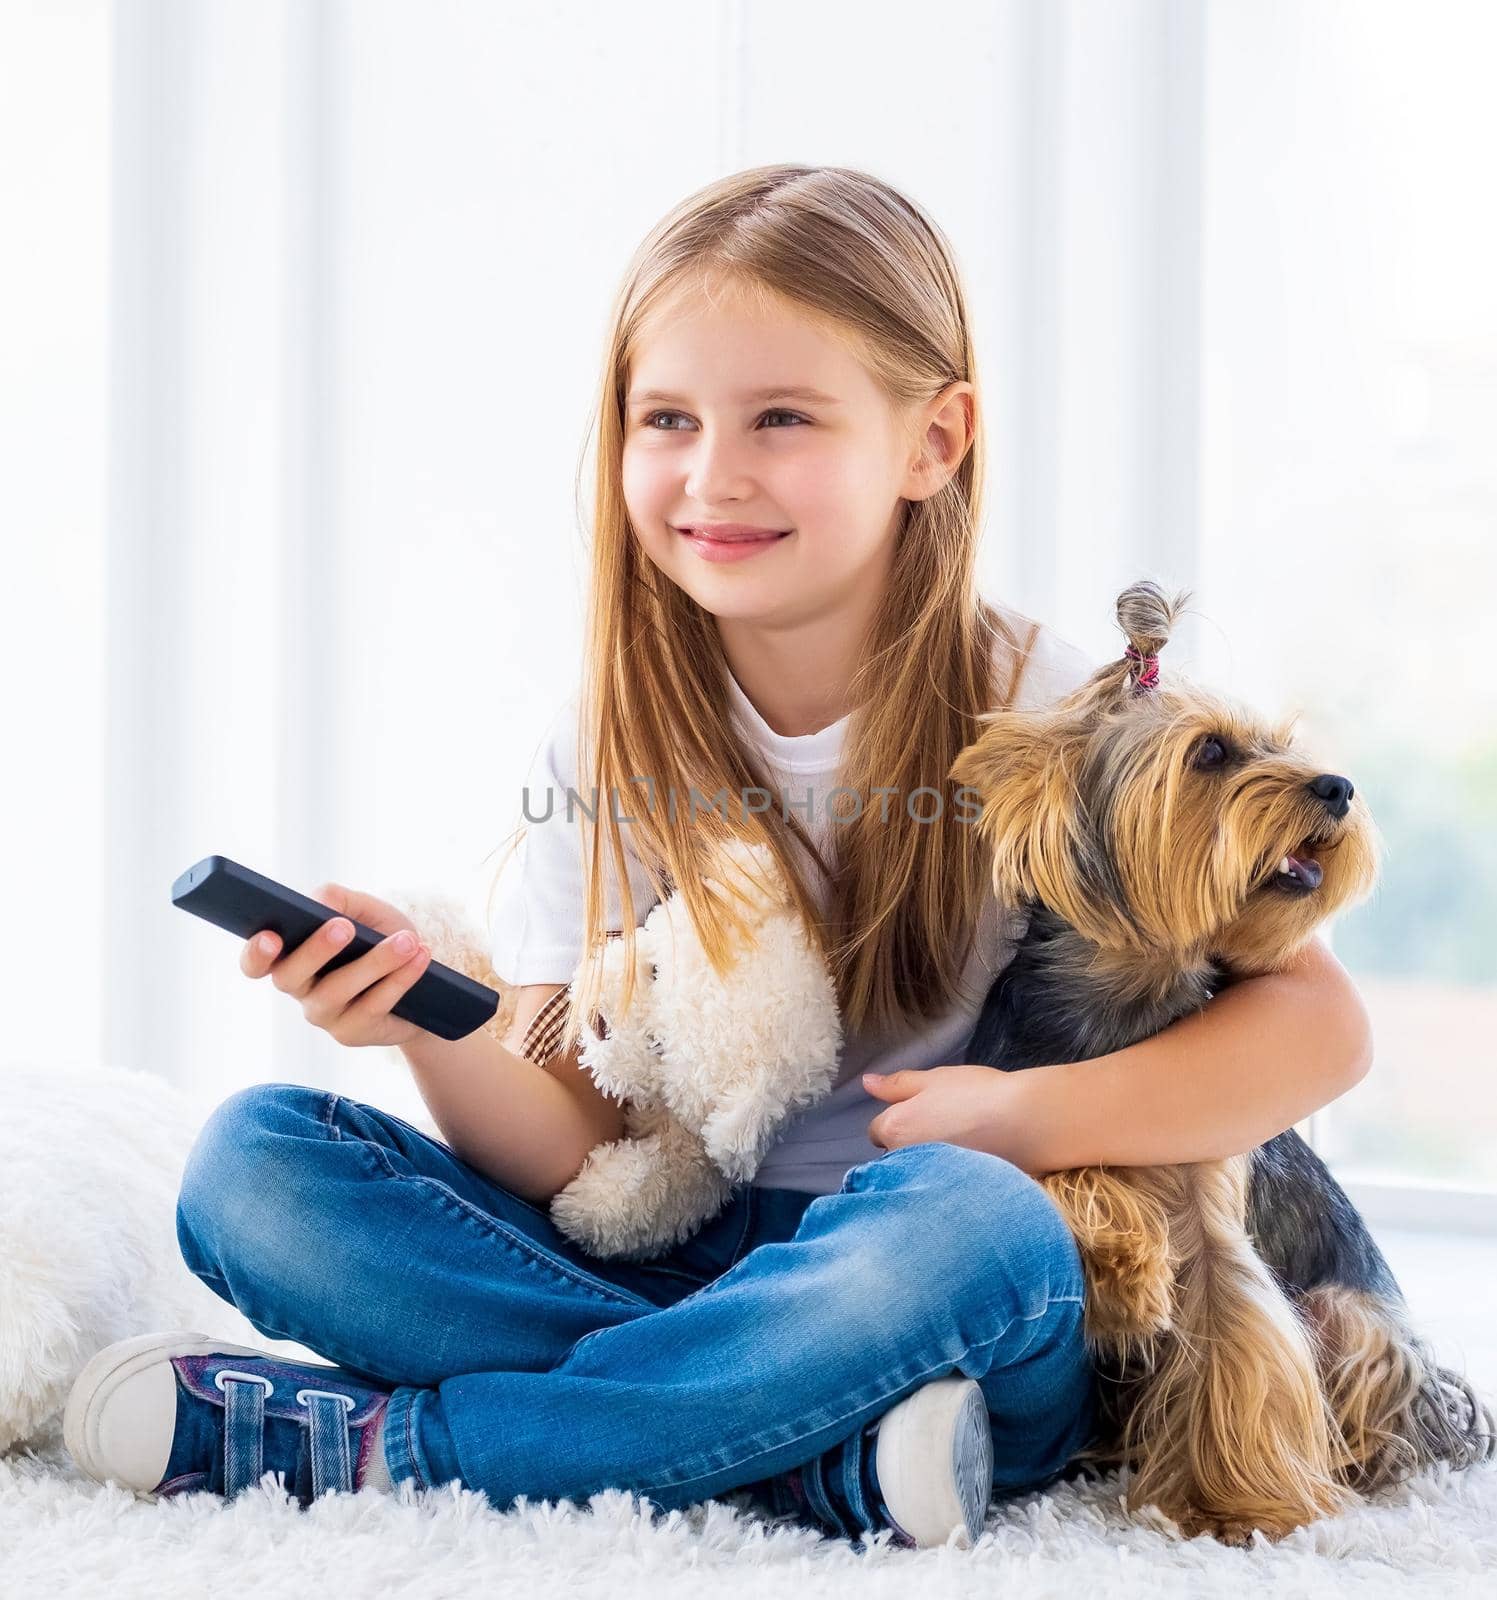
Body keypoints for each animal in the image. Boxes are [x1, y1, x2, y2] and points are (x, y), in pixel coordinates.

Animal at [953, 582, 1490, 1542]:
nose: (1338, 785)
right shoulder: (1006, 1100)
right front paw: (1124, 1268)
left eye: (1282, 745)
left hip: (1349, 1313)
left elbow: (1231, 1335)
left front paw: (1227, 1508)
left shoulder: (1211, 1201)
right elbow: (1065, 1170)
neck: (1123, 1001)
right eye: (1208, 752)